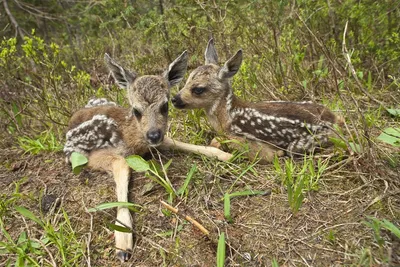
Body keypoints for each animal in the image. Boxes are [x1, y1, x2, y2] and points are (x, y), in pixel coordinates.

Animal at [62, 50, 231, 262]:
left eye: (165, 106)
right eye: (136, 110)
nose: (153, 135)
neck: (131, 137)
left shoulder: (159, 140)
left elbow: (188, 145)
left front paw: (226, 155)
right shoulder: (100, 155)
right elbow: (122, 167)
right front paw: (123, 243)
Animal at [170, 38, 342, 162]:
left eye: (198, 89)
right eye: (186, 80)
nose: (174, 99)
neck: (226, 118)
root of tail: (337, 121)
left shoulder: (245, 141)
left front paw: (277, 153)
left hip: (304, 143)